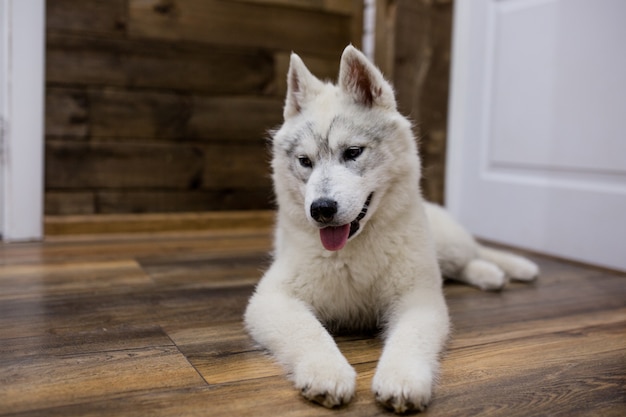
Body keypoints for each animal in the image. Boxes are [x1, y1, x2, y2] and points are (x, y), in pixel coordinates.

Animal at [244, 46, 536, 412]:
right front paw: (327, 371)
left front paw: (402, 379)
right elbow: (307, 330)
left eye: (353, 152)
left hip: (447, 245)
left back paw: (504, 269)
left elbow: (410, 336)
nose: (321, 209)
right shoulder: (272, 298)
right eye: (305, 162)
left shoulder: (418, 298)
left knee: (472, 253)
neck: (354, 249)